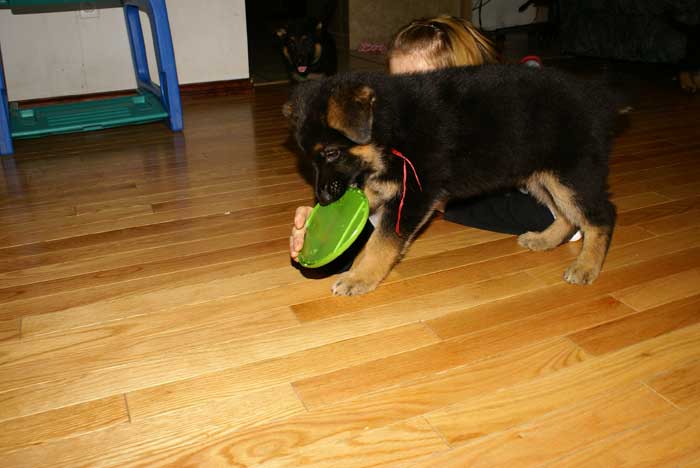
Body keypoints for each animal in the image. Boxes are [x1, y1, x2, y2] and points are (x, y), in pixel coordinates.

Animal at [284, 65, 616, 296]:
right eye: (311, 159)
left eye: (331, 153)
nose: (323, 200)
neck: (393, 128)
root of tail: (597, 100)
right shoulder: (389, 183)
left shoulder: (417, 192)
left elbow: (384, 240)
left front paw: (360, 277)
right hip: (539, 174)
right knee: (566, 214)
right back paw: (544, 239)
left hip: (569, 174)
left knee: (600, 215)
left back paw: (587, 266)